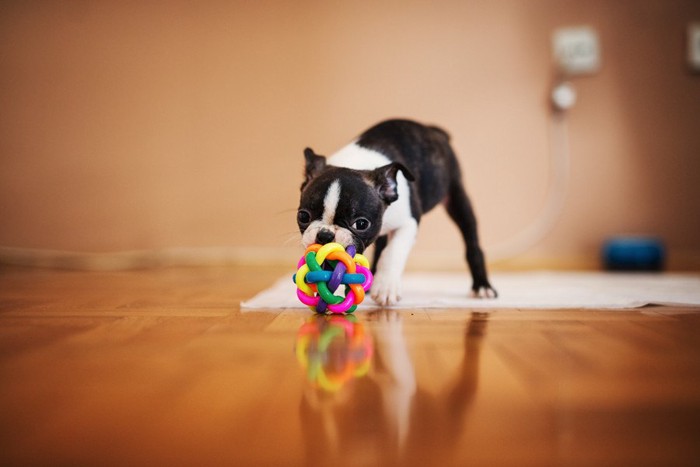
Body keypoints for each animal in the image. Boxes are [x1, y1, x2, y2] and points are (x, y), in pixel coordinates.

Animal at [298, 119, 494, 306]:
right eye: (303, 216)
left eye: (361, 224)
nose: (325, 235)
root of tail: (434, 131)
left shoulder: (409, 223)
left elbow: (392, 252)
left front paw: (386, 288)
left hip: (457, 197)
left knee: (471, 240)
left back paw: (482, 286)